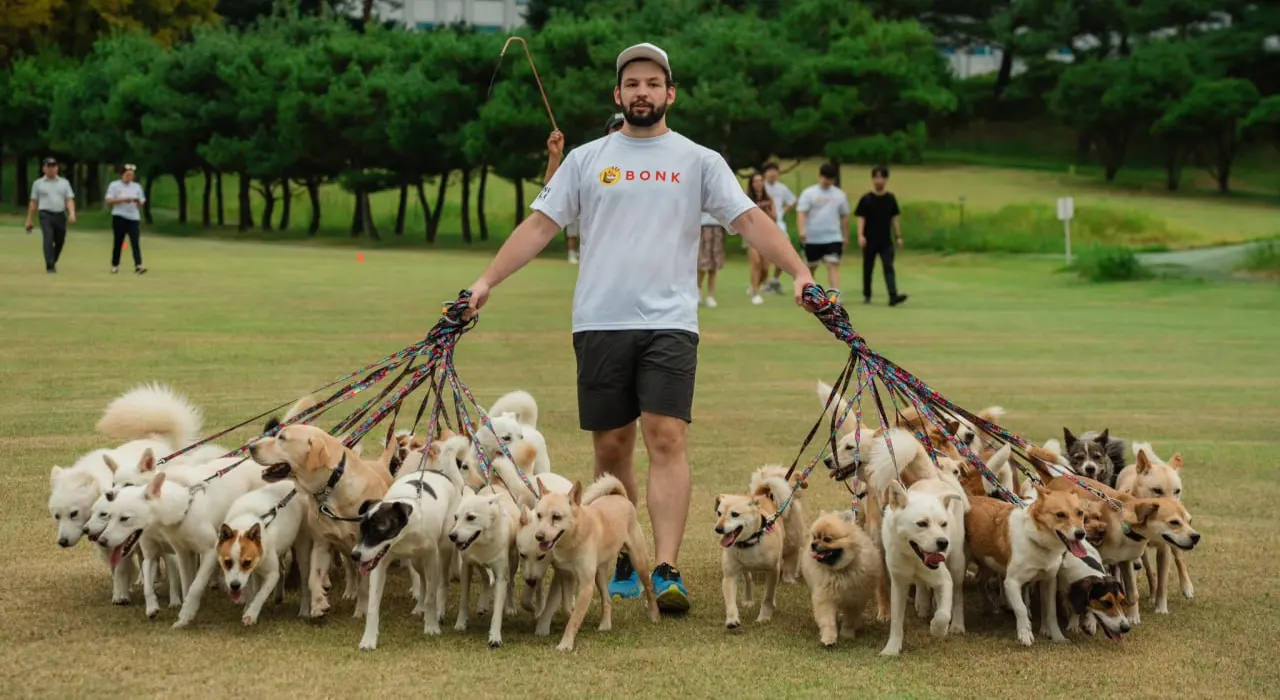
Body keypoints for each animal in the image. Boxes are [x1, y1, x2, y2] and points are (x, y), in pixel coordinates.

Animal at [245, 422, 394, 619]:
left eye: (282, 438)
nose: (250, 446)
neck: (331, 488)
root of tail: (381, 463)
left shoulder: (365, 550)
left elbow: (364, 586)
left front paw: (361, 611)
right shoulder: (322, 544)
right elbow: (312, 578)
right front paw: (318, 604)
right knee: (350, 570)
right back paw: (349, 591)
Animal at [529, 476, 660, 652]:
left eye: (556, 517)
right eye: (539, 515)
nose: (539, 536)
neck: (573, 539)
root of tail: (621, 497)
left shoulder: (586, 585)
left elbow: (575, 617)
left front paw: (566, 643)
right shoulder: (566, 576)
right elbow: (567, 609)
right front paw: (573, 621)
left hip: (639, 561)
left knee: (650, 588)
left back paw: (655, 616)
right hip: (600, 574)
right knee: (607, 599)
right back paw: (605, 625)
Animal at [798, 509, 880, 652]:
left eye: (827, 539)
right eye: (814, 537)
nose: (813, 545)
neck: (840, 571)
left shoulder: (855, 599)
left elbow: (849, 620)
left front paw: (847, 634)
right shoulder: (825, 597)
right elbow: (828, 621)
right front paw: (829, 638)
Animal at [962, 488, 1085, 647]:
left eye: (1080, 513)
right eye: (1060, 515)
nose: (1081, 534)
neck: (1034, 538)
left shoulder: (1049, 581)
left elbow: (1051, 612)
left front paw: (1058, 637)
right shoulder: (1011, 582)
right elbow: (1021, 608)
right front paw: (1025, 635)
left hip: (988, 561)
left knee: (979, 581)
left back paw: (989, 607)